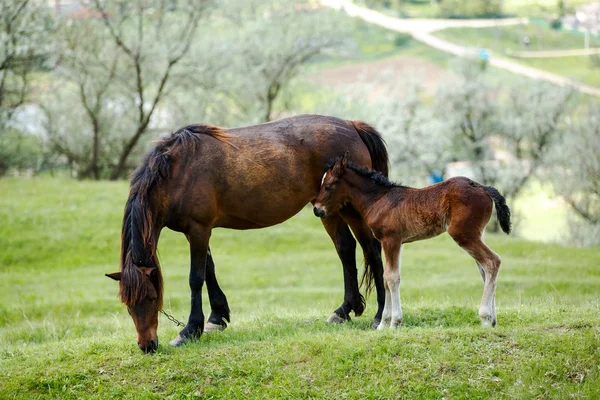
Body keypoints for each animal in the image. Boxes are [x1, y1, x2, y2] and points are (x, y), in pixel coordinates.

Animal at [106, 114, 390, 352]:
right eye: (127, 305)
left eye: (153, 297)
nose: (147, 345)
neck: (177, 171)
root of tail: (352, 125)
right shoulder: (199, 232)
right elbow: (209, 271)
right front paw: (217, 317)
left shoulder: (198, 230)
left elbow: (196, 278)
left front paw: (190, 330)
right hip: (329, 211)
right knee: (346, 249)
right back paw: (344, 310)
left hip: (351, 211)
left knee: (373, 251)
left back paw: (380, 315)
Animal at [312, 152, 512, 328]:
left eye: (328, 185)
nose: (317, 209)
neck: (378, 199)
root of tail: (484, 188)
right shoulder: (395, 243)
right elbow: (385, 277)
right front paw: (383, 324)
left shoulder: (391, 239)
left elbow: (392, 278)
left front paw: (394, 323)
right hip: (477, 233)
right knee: (484, 269)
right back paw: (493, 319)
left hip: (463, 234)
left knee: (492, 262)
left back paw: (485, 318)